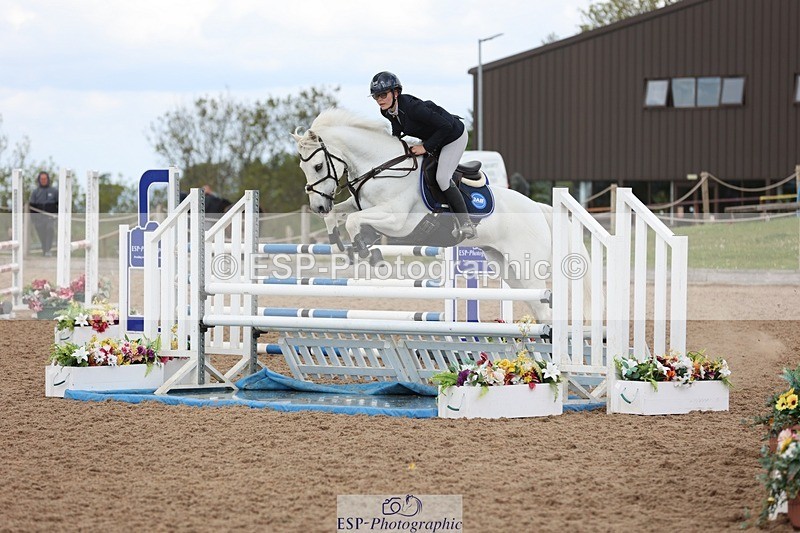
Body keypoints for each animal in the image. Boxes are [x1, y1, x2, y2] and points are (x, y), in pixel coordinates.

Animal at [292, 108, 588, 322]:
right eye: (303, 168)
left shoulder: (398, 221)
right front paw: (341, 242)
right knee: (539, 309)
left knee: (546, 309)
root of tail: (538, 208)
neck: (382, 166)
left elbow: (355, 223)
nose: (318, 206)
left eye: (318, 166)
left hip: (527, 267)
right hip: (508, 268)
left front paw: (368, 251)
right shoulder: (361, 206)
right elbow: (341, 217)